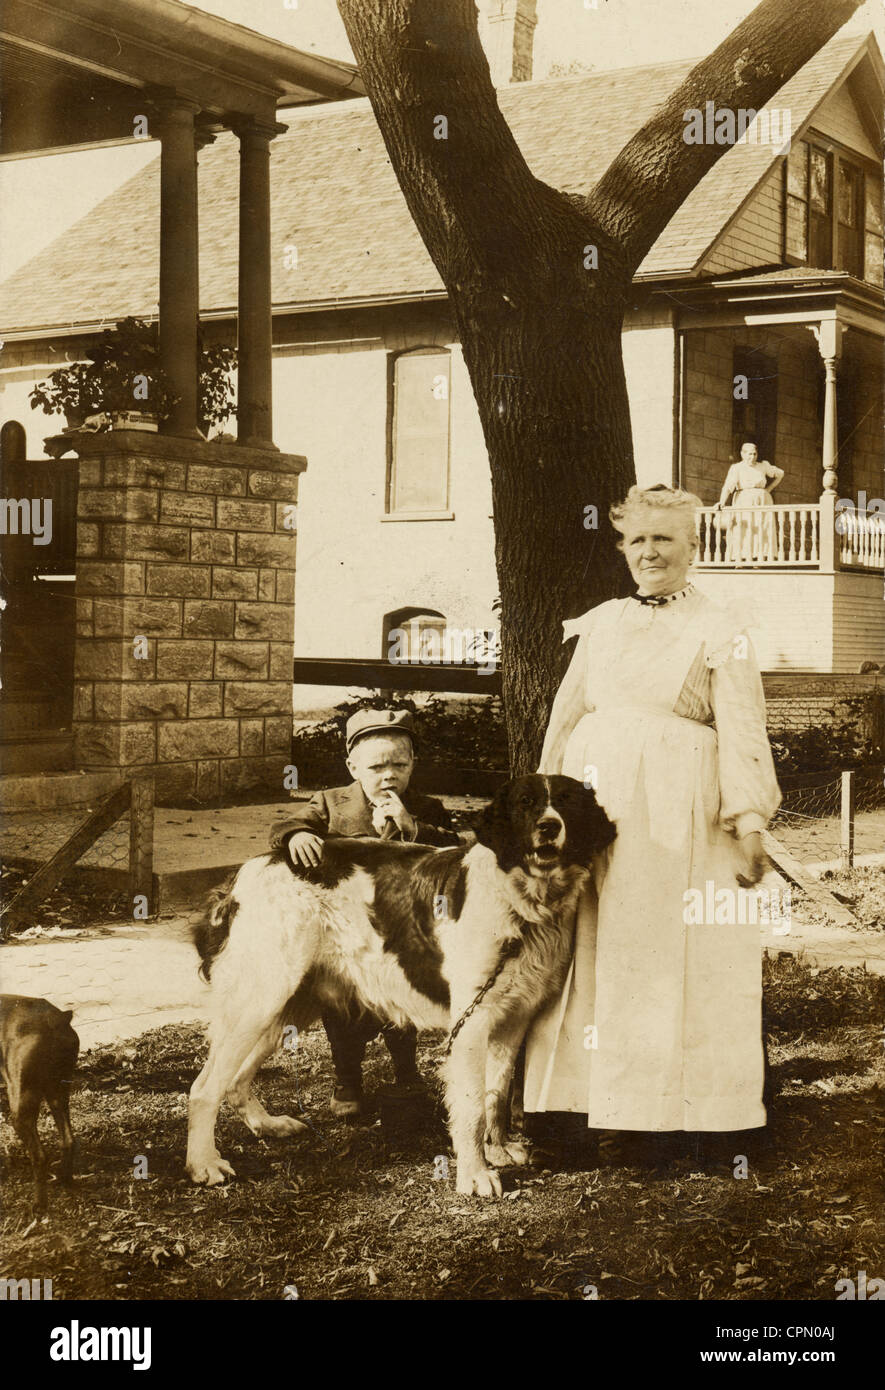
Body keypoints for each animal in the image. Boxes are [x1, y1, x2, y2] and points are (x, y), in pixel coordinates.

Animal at [0, 995, 78, 1212]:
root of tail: (55, 1020)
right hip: (58, 1092)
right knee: (68, 1140)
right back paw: (64, 1181)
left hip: (21, 1105)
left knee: (40, 1156)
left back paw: (38, 1206)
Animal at [186, 772, 614, 1195]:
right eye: (526, 803)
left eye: (567, 803)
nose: (549, 826)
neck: (520, 899)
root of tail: (245, 873)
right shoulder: (472, 1022)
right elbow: (473, 1104)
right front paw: (475, 1174)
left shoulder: (514, 1018)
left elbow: (496, 1092)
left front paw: (498, 1149)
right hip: (260, 998)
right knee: (205, 1087)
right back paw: (204, 1164)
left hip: (289, 1004)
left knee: (235, 1079)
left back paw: (267, 1125)